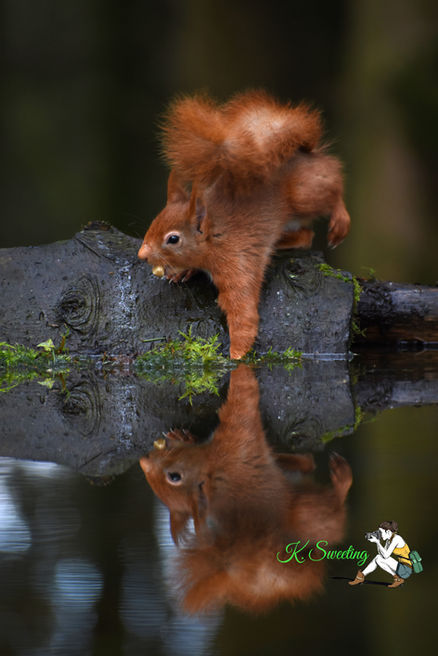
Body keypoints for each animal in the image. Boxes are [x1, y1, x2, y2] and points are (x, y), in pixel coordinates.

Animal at [138, 90, 351, 359]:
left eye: (173, 239)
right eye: (154, 221)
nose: (142, 254)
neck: (214, 238)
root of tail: (304, 154)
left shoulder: (236, 261)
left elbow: (242, 310)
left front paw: (237, 355)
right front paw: (184, 271)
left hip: (306, 193)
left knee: (334, 187)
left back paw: (340, 220)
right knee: (306, 234)